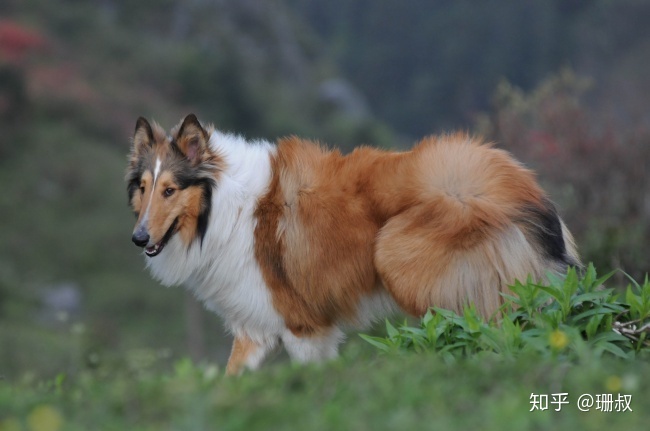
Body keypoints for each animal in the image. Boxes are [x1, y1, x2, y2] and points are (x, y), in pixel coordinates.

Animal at [125, 114, 576, 374]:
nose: (138, 238)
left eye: (170, 190)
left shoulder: (304, 328)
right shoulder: (257, 328)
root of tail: (517, 187)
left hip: (401, 260)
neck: (224, 208)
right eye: (143, 188)